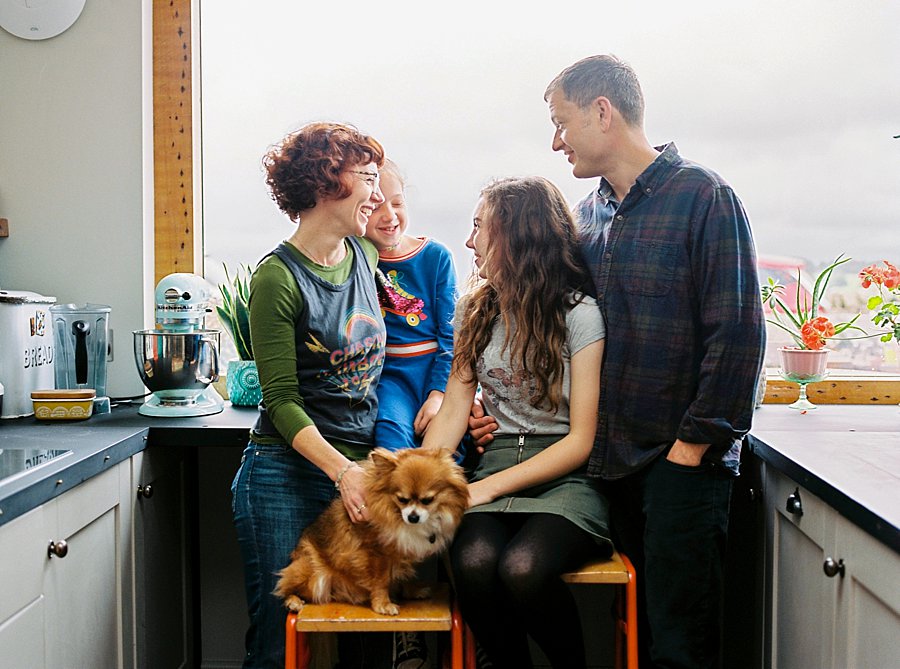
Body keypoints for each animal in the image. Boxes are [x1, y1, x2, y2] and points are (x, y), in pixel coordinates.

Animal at [274, 446, 468, 612]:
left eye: (428, 500)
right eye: (402, 499)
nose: (413, 517)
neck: (395, 514)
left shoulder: (401, 553)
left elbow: (402, 576)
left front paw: (411, 591)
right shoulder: (376, 554)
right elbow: (381, 581)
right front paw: (383, 604)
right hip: (314, 575)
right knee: (286, 588)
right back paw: (293, 601)